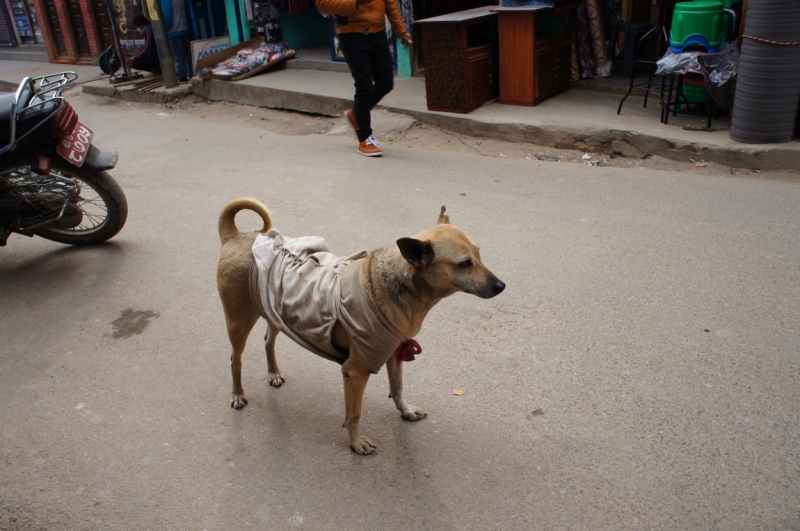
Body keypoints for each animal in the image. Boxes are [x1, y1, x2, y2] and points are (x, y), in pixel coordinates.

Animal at [217, 200, 506, 458]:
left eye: (479, 254)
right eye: (464, 263)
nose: (501, 286)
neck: (398, 286)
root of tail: (237, 236)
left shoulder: (395, 352)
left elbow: (398, 389)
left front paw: (405, 411)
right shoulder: (355, 372)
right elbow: (354, 414)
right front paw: (355, 443)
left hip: (275, 311)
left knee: (268, 339)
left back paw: (273, 372)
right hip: (239, 322)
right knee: (234, 359)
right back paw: (237, 394)